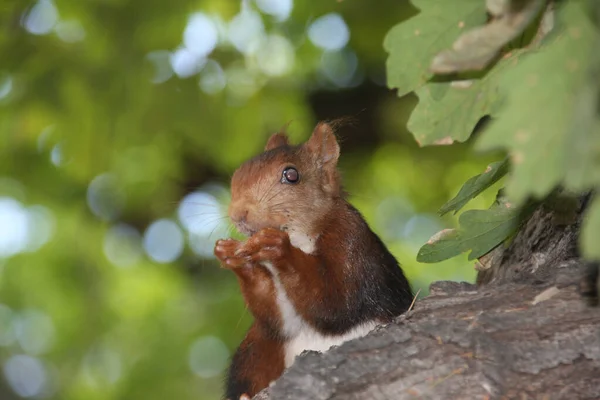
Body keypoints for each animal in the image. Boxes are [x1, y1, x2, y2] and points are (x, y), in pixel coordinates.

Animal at [213, 122, 414, 400]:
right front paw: (236, 259)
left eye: (292, 175)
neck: (300, 237)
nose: (238, 213)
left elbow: (337, 304)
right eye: (238, 173)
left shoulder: (352, 243)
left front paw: (278, 247)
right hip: (253, 351)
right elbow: (278, 320)